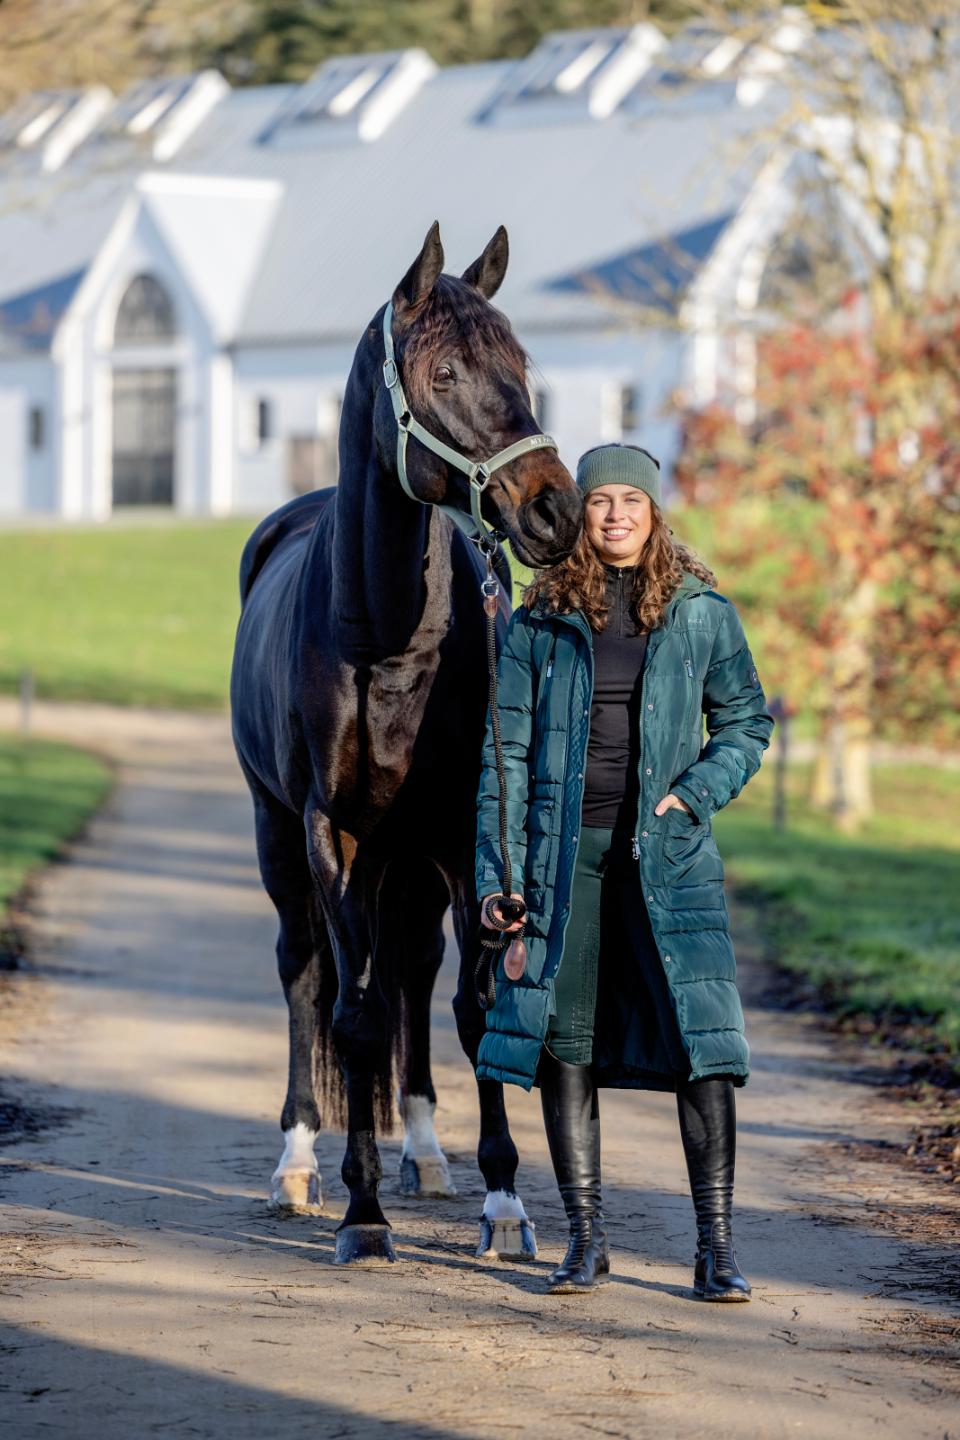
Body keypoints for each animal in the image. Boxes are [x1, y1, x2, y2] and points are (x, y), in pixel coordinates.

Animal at [230, 222, 582, 1264]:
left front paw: (504, 1202)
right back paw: (297, 1162)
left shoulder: (466, 835)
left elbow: (472, 1006)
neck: (384, 640)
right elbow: (349, 1015)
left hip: (414, 859)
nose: (556, 510)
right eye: (446, 370)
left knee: (416, 975)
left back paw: (426, 1152)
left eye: (522, 364)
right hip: (281, 835)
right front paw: (362, 1212)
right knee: (308, 973)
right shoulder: (333, 834)